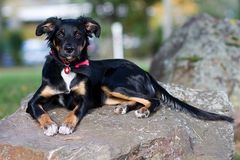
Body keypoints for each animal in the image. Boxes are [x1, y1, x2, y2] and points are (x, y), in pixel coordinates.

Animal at [26, 16, 232, 136]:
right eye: (60, 34)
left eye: (78, 34)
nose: (69, 49)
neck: (68, 67)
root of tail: (143, 70)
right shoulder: (34, 101)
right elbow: (40, 111)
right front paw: (50, 125)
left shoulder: (85, 100)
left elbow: (74, 111)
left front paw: (66, 126)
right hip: (109, 94)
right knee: (141, 99)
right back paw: (125, 108)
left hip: (112, 83)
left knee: (153, 99)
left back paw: (143, 111)